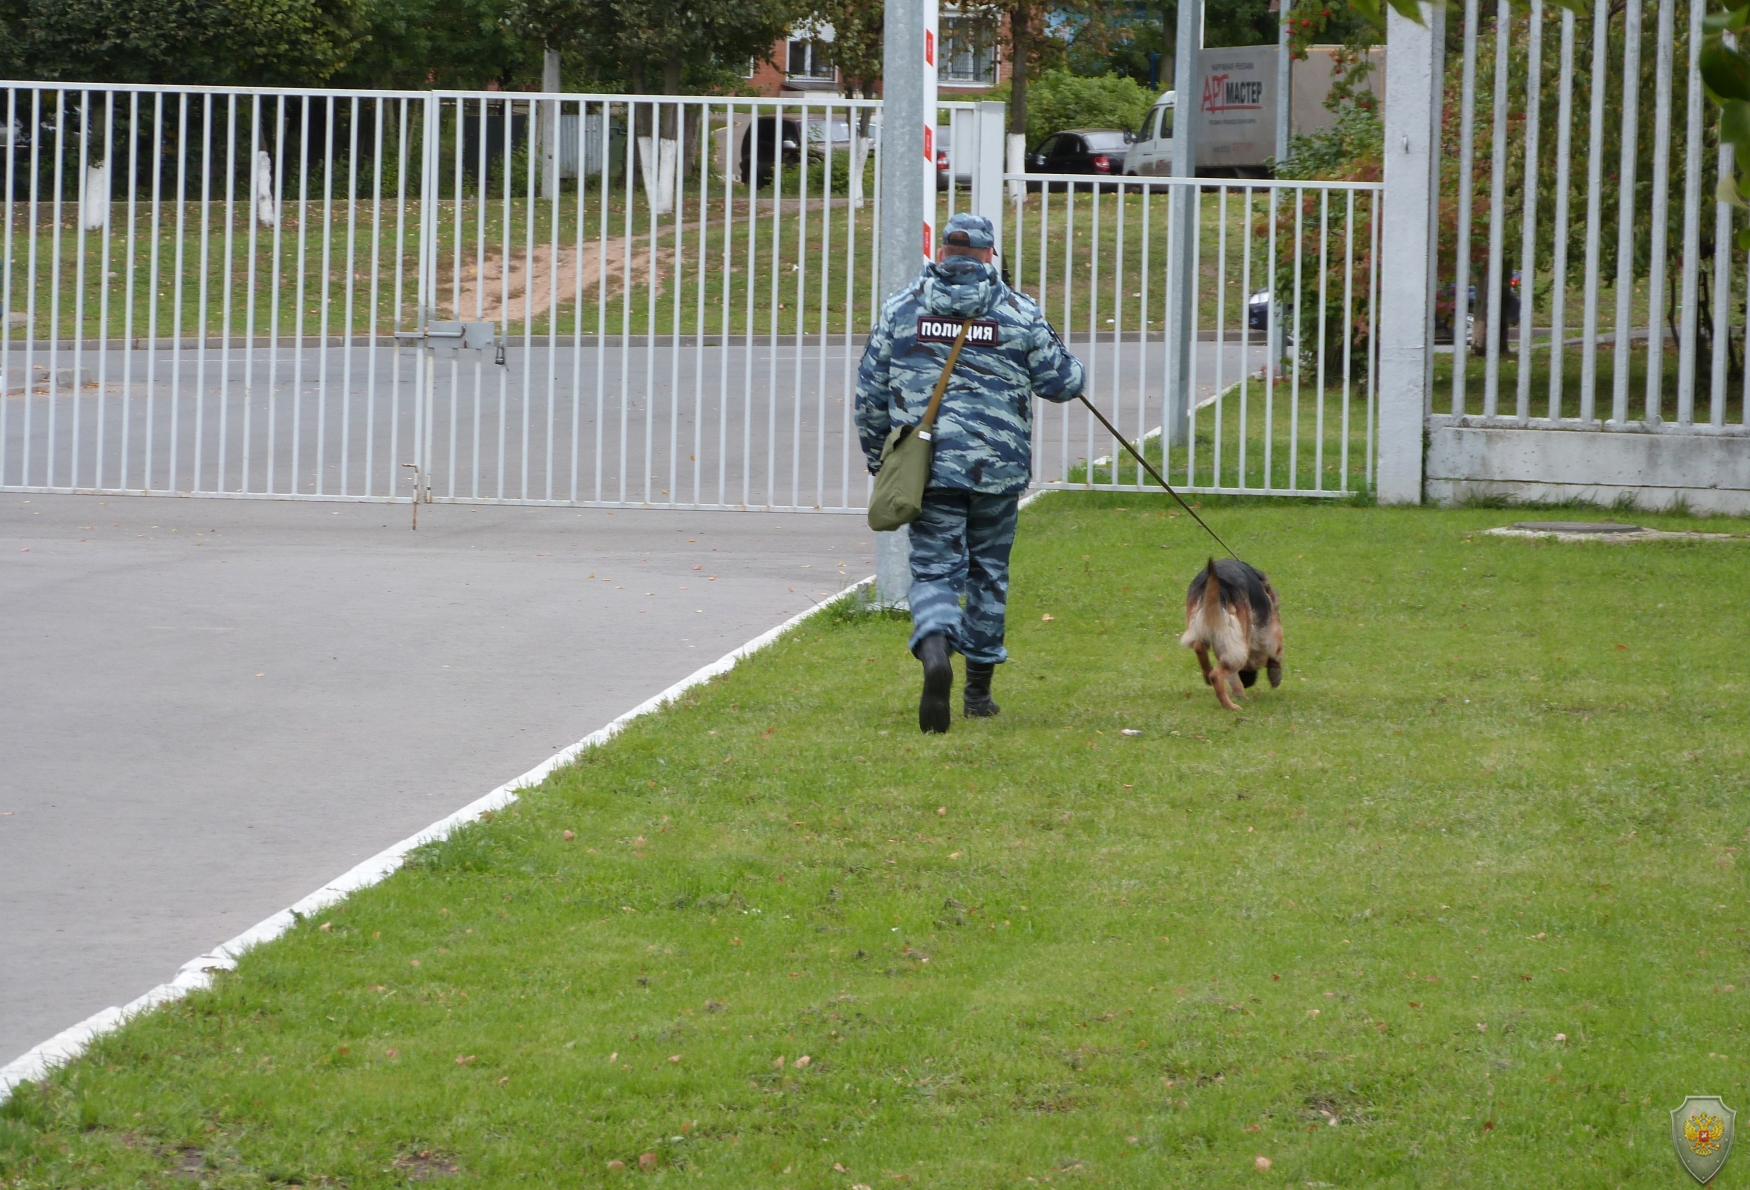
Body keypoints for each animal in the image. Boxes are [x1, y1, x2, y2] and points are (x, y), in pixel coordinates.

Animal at [1176, 556, 1288, 710]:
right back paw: (1230, 705)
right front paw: (1275, 674)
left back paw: (1209, 675)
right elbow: (1276, 653)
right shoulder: (1271, 632)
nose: (1247, 683)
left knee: (1199, 647)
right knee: (1217, 675)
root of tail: (1220, 585)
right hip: (1239, 644)